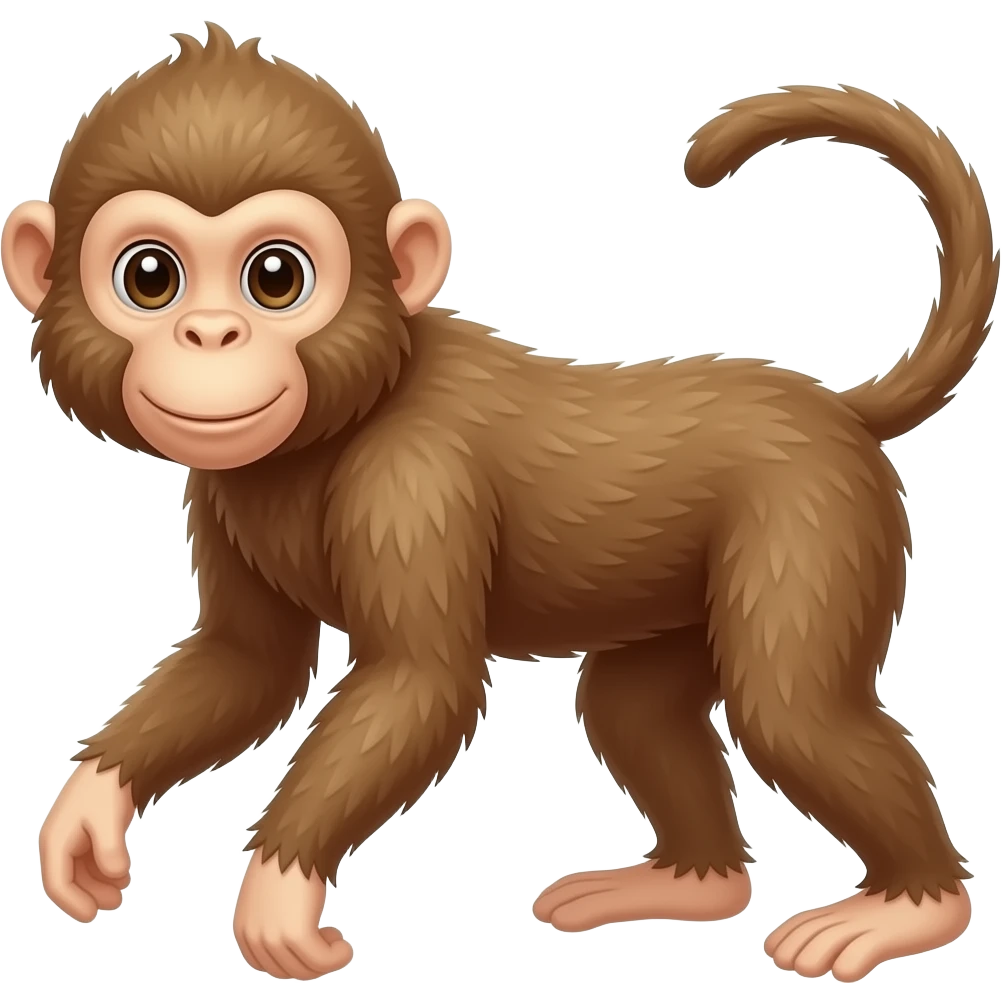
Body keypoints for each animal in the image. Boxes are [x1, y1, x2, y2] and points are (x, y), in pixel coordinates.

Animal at [5, 24, 996, 983]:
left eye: (276, 277)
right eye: (151, 277)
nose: (210, 334)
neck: (339, 420)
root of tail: (836, 409)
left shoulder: (413, 482)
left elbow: (419, 682)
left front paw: (279, 889)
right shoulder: (220, 492)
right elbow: (247, 663)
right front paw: (88, 812)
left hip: (815, 517)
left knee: (794, 713)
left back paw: (911, 907)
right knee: (632, 709)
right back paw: (687, 882)